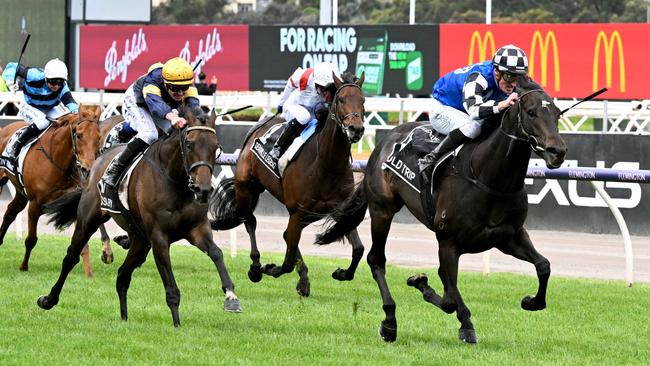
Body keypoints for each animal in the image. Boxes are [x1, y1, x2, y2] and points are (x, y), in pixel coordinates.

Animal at [0, 104, 101, 276]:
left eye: (98, 137)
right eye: (79, 135)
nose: (88, 168)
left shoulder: (72, 204)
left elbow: (81, 242)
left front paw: (88, 271)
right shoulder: (35, 204)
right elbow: (31, 239)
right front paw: (24, 266)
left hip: (21, 193)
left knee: (10, 212)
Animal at [38, 108, 240, 326]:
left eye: (215, 147)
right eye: (189, 144)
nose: (202, 190)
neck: (175, 181)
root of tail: (98, 162)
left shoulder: (197, 229)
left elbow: (216, 253)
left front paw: (231, 298)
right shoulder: (159, 238)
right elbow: (171, 288)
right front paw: (177, 325)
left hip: (140, 241)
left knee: (122, 275)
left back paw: (124, 317)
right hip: (88, 220)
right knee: (70, 258)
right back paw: (48, 300)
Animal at [210, 72, 368, 298]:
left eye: (363, 100)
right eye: (341, 99)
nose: (356, 129)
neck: (327, 164)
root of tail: (258, 126)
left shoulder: (340, 209)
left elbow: (358, 249)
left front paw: (342, 273)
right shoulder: (298, 211)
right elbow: (287, 262)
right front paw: (269, 268)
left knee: (286, 237)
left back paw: (302, 280)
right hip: (246, 187)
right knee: (250, 222)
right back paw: (256, 267)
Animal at [316, 76, 564, 344]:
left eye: (557, 113)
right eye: (531, 112)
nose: (557, 151)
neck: (487, 177)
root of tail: (385, 140)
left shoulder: (509, 236)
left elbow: (543, 265)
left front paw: (531, 301)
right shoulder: (448, 242)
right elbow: (450, 298)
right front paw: (464, 324)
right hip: (382, 209)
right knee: (376, 259)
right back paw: (389, 322)